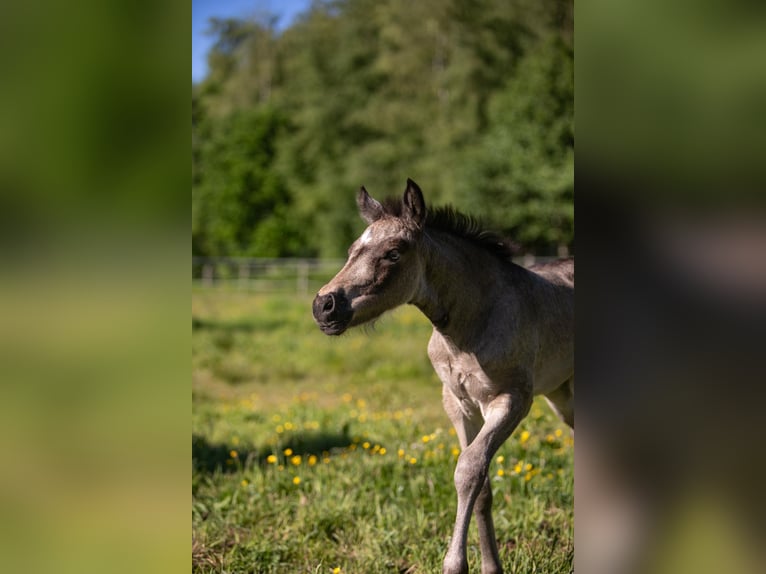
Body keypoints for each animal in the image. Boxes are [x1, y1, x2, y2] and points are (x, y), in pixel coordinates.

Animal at [312, 179, 574, 574]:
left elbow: (468, 470)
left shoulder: (511, 400)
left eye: (393, 253)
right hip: (563, 394)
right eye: (352, 250)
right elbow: (481, 486)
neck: (473, 321)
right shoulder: (458, 403)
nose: (323, 306)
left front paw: (454, 564)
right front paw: (490, 567)